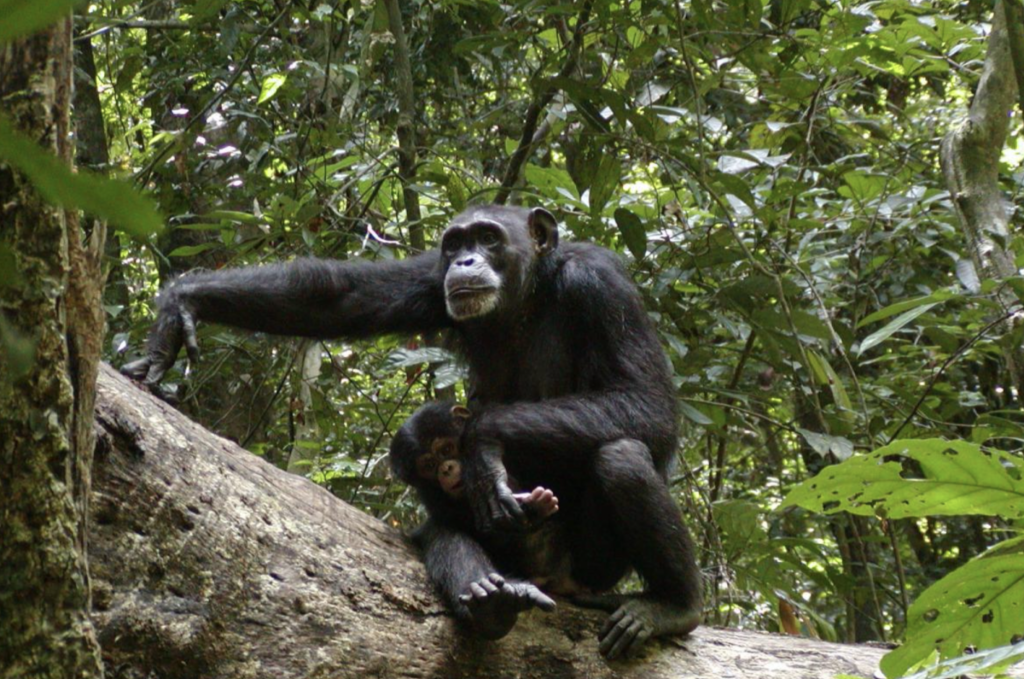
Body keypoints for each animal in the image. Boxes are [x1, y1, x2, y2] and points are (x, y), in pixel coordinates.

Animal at [123, 202, 704, 659]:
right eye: (456, 244)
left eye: (489, 238)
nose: (466, 261)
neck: (526, 296)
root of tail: (553, 580)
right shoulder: (431, 277)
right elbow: (336, 297)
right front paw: (182, 303)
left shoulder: (602, 285)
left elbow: (646, 402)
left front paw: (483, 442)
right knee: (444, 533)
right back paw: (492, 601)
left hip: (595, 568)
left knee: (622, 458)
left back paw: (673, 607)